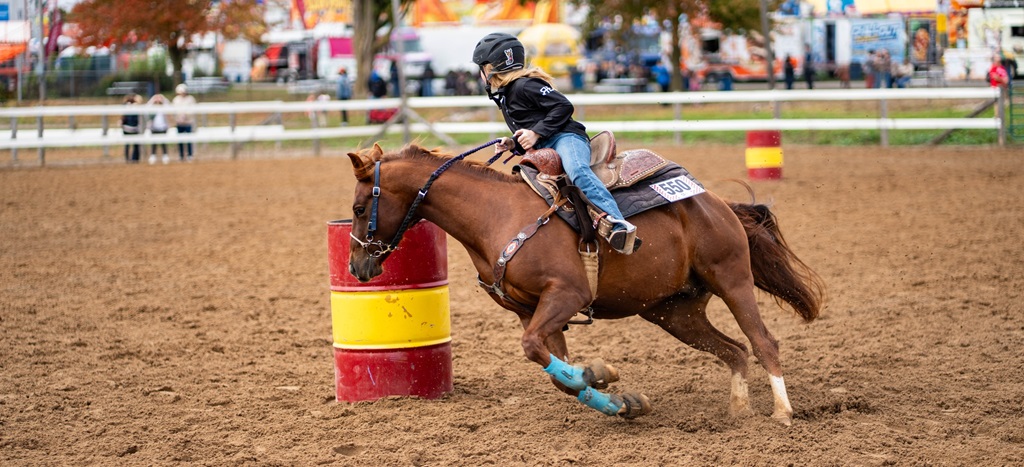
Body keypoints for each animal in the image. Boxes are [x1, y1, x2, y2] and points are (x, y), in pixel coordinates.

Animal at [345, 142, 824, 425]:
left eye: (357, 207)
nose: (357, 267)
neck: (494, 214)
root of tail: (717, 201)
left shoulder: (566, 294)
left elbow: (536, 352)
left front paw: (605, 382)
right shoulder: (531, 311)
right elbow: (558, 372)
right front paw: (614, 394)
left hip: (732, 278)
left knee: (762, 342)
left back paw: (782, 413)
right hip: (674, 312)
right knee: (734, 350)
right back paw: (739, 412)